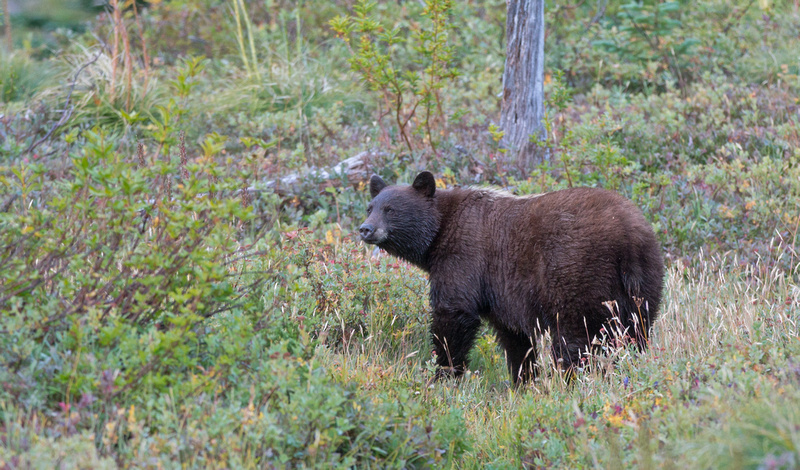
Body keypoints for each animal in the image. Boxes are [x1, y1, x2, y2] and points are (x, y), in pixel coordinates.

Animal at [360, 171, 664, 384]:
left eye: (391, 210)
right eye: (370, 206)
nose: (365, 229)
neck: (440, 230)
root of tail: (628, 236)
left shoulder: (464, 256)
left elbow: (453, 314)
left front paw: (443, 374)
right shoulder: (502, 292)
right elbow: (515, 338)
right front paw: (523, 379)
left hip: (577, 273)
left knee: (575, 338)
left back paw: (570, 380)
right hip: (643, 281)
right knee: (637, 329)